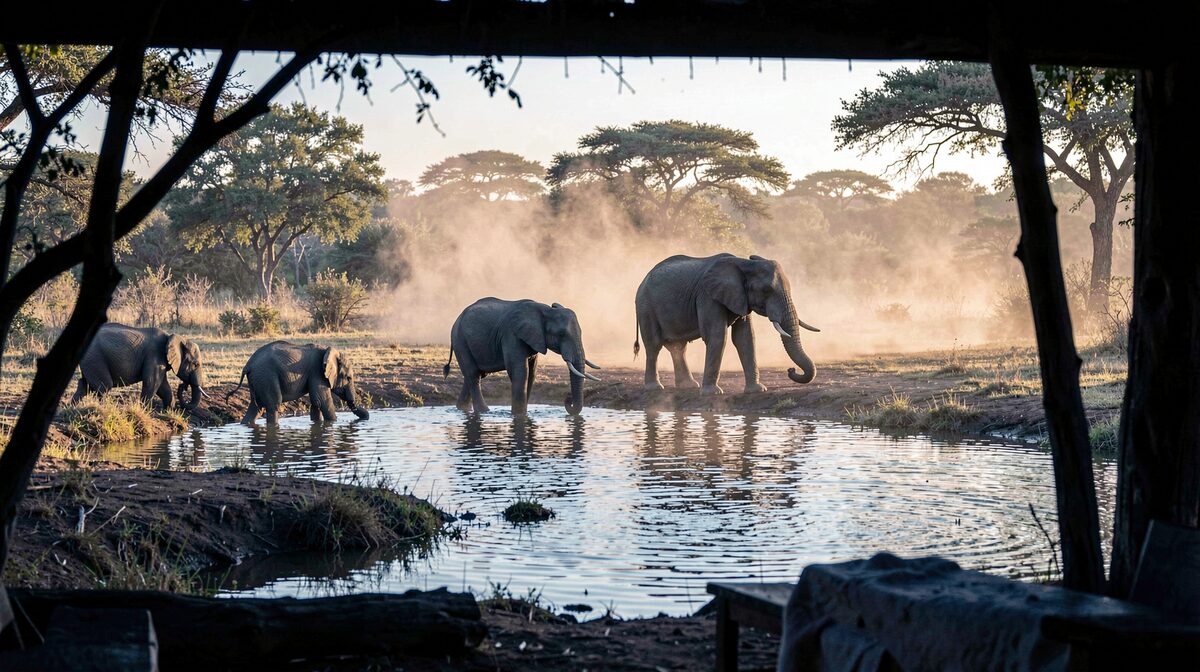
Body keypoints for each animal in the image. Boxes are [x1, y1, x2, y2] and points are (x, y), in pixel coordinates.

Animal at [72, 323, 208, 409]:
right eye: (196, 365)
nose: (183, 386)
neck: (172, 337)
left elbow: (163, 386)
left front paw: (169, 412)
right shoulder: (154, 355)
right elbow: (152, 382)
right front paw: (144, 411)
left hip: (90, 360)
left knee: (84, 385)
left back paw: (72, 408)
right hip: (95, 358)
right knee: (104, 386)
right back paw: (104, 409)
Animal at [230, 340, 370, 425]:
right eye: (349, 378)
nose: (365, 417)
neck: (328, 351)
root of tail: (248, 365)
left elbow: (316, 403)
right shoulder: (317, 372)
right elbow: (323, 401)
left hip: (258, 380)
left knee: (255, 408)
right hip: (266, 376)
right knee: (273, 405)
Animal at [443, 298, 601, 416]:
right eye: (561, 334)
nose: (568, 400)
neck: (545, 311)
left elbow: (532, 373)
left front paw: (523, 414)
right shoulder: (511, 335)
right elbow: (520, 372)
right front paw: (518, 416)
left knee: (476, 375)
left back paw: (463, 409)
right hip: (460, 340)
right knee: (473, 375)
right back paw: (484, 412)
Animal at [634, 253, 820, 395]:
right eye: (766, 290)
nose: (790, 370)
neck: (744, 264)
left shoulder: (742, 298)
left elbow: (745, 338)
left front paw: (758, 390)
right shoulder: (707, 296)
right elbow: (717, 335)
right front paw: (713, 393)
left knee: (678, 347)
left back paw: (688, 386)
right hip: (645, 306)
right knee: (654, 345)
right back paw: (655, 388)